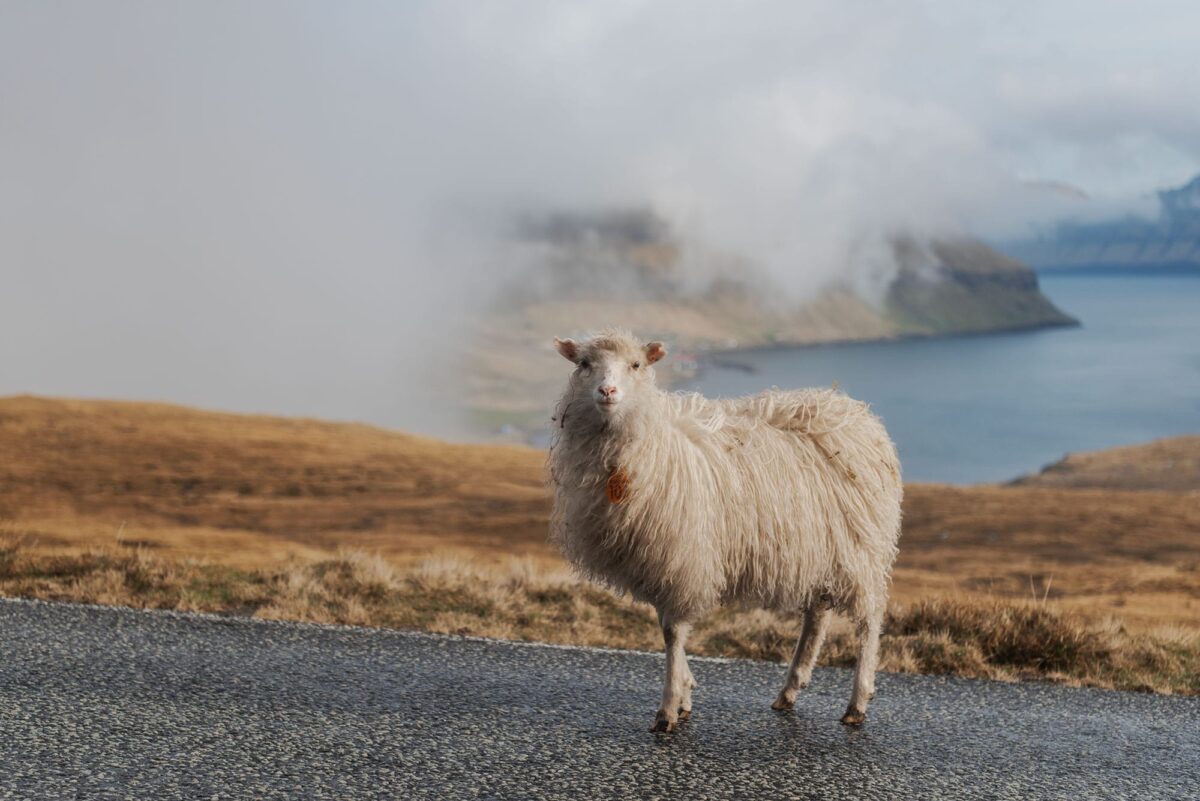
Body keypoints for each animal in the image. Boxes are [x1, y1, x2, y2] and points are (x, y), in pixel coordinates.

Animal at [547, 329, 902, 731]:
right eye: (584, 363)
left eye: (635, 365)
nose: (607, 391)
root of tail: (853, 410)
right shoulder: (659, 559)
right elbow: (666, 626)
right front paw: (685, 694)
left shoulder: (683, 556)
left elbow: (672, 631)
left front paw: (669, 707)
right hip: (819, 548)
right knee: (817, 615)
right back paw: (790, 689)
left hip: (862, 549)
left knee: (869, 620)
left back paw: (857, 701)